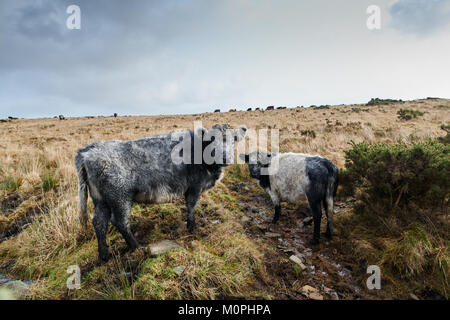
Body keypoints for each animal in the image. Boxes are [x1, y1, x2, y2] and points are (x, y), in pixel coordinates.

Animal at [76, 124, 246, 262]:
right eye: (211, 140)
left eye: (233, 140)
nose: (225, 157)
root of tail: (87, 150)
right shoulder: (195, 187)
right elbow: (191, 207)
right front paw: (192, 227)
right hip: (119, 197)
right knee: (120, 222)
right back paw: (136, 247)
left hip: (101, 200)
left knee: (99, 223)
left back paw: (104, 255)